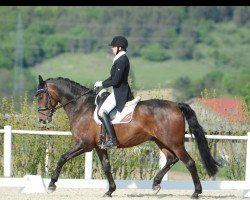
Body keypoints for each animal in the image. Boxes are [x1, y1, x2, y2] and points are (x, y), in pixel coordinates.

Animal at [35, 75, 219, 198]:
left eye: (41, 96)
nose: (42, 120)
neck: (80, 106)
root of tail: (176, 105)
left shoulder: (84, 144)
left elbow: (62, 158)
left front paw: (51, 185)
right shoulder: (98, 147)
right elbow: (106, 167)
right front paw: (110, 190)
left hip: (174, 142)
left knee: (189, 162)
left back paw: (196, 192)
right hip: (161, 141)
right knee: (171, 159)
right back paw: (155, 184)